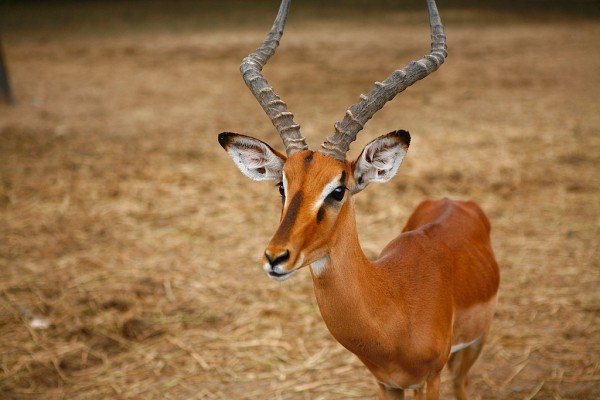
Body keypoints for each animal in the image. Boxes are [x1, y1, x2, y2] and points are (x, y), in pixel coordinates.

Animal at [218, 1, 500, 398]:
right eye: (282, 187)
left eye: (338, 189)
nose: (275, 257)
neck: (394, 301)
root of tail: (455, 201)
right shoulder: (386, 383)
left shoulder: (429, 380)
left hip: (471, 348)